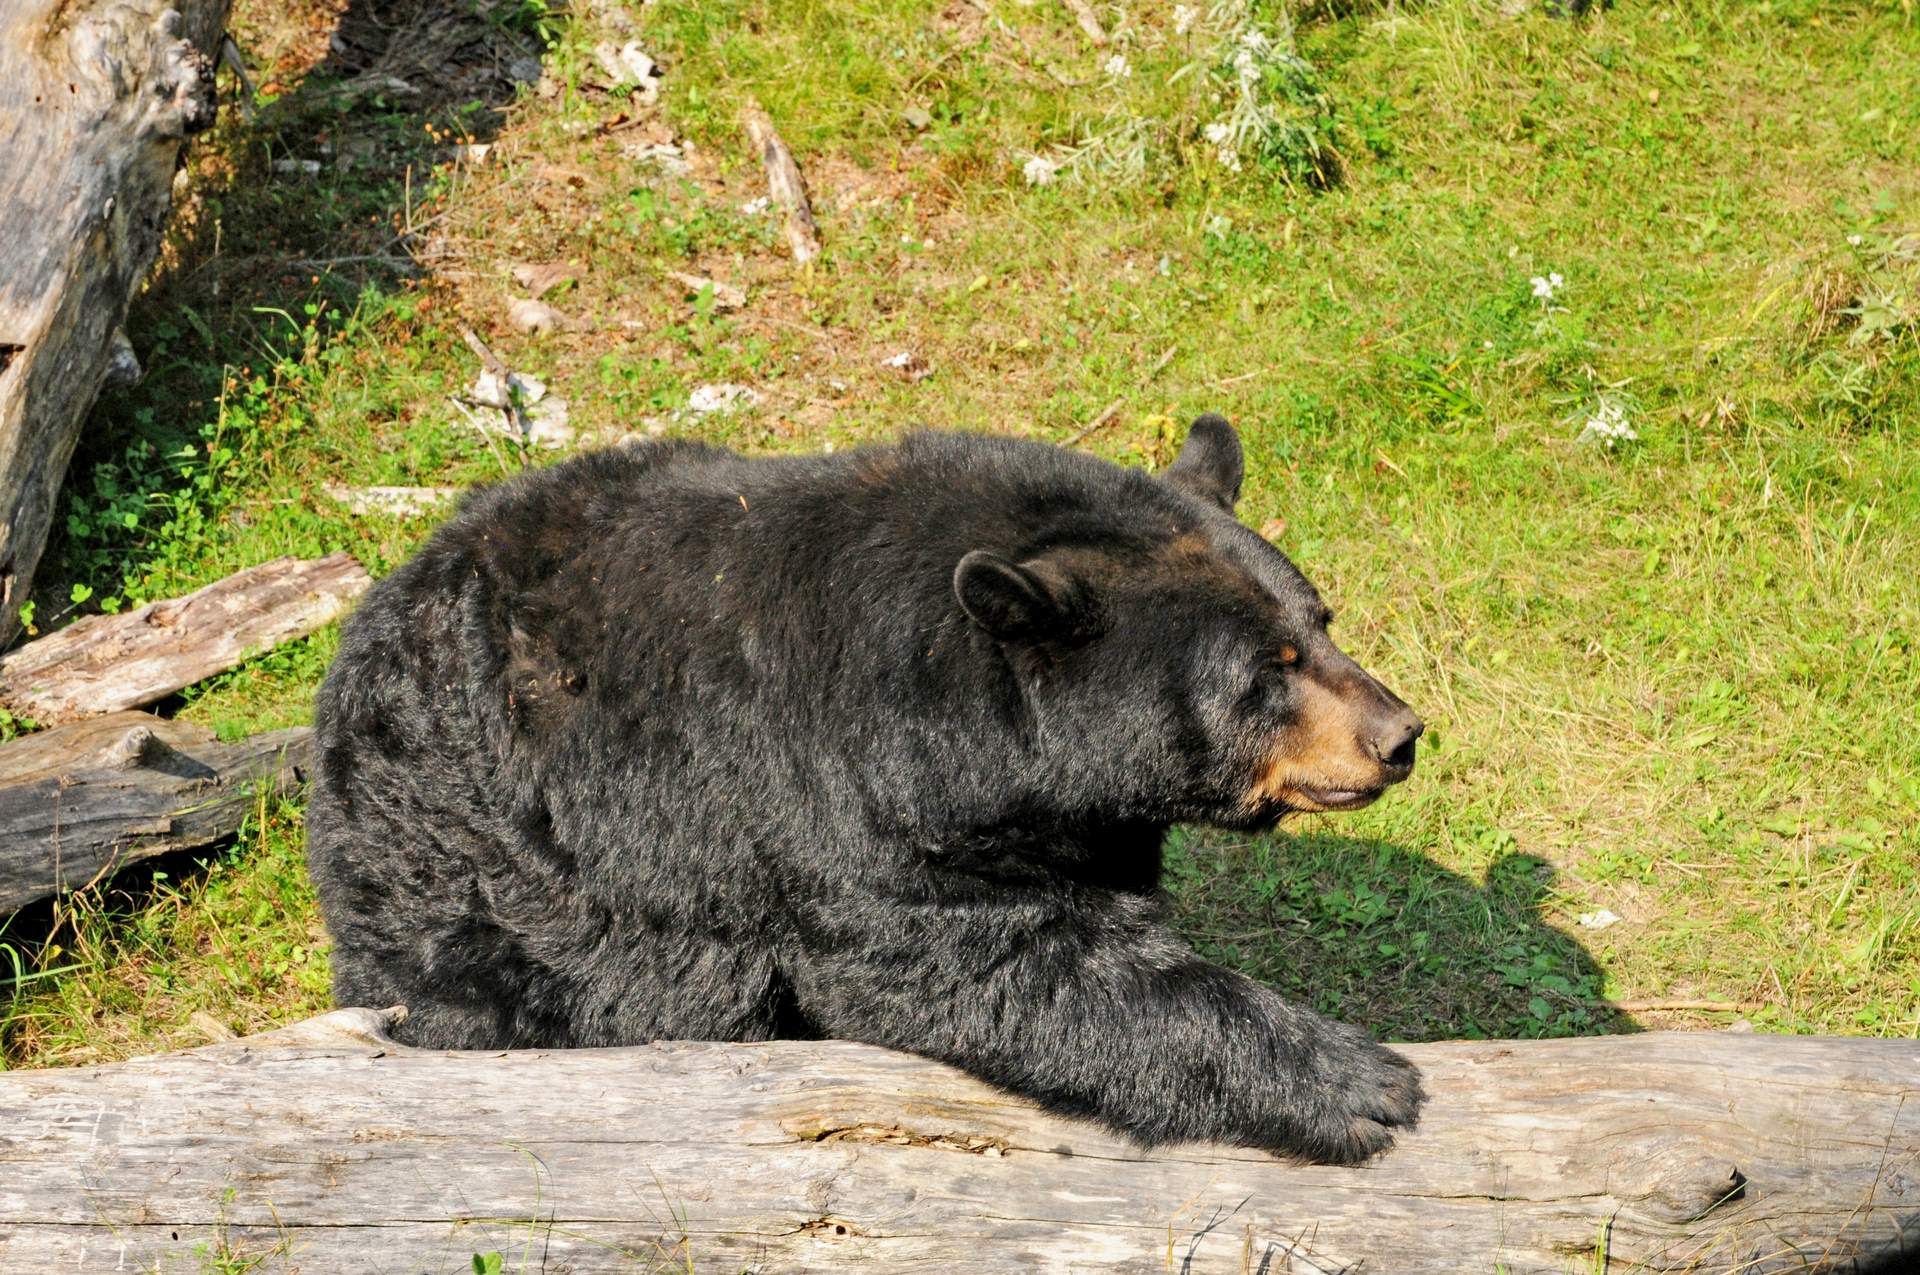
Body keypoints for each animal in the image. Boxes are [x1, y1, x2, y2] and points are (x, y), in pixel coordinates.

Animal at [307, 418, 1428, 1167]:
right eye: (1266, 671)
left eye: (1319, 620)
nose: (1398, 734)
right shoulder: (852, 806)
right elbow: (986, 963)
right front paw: (1359, 1082)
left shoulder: (1074, 820)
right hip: (472, 875)